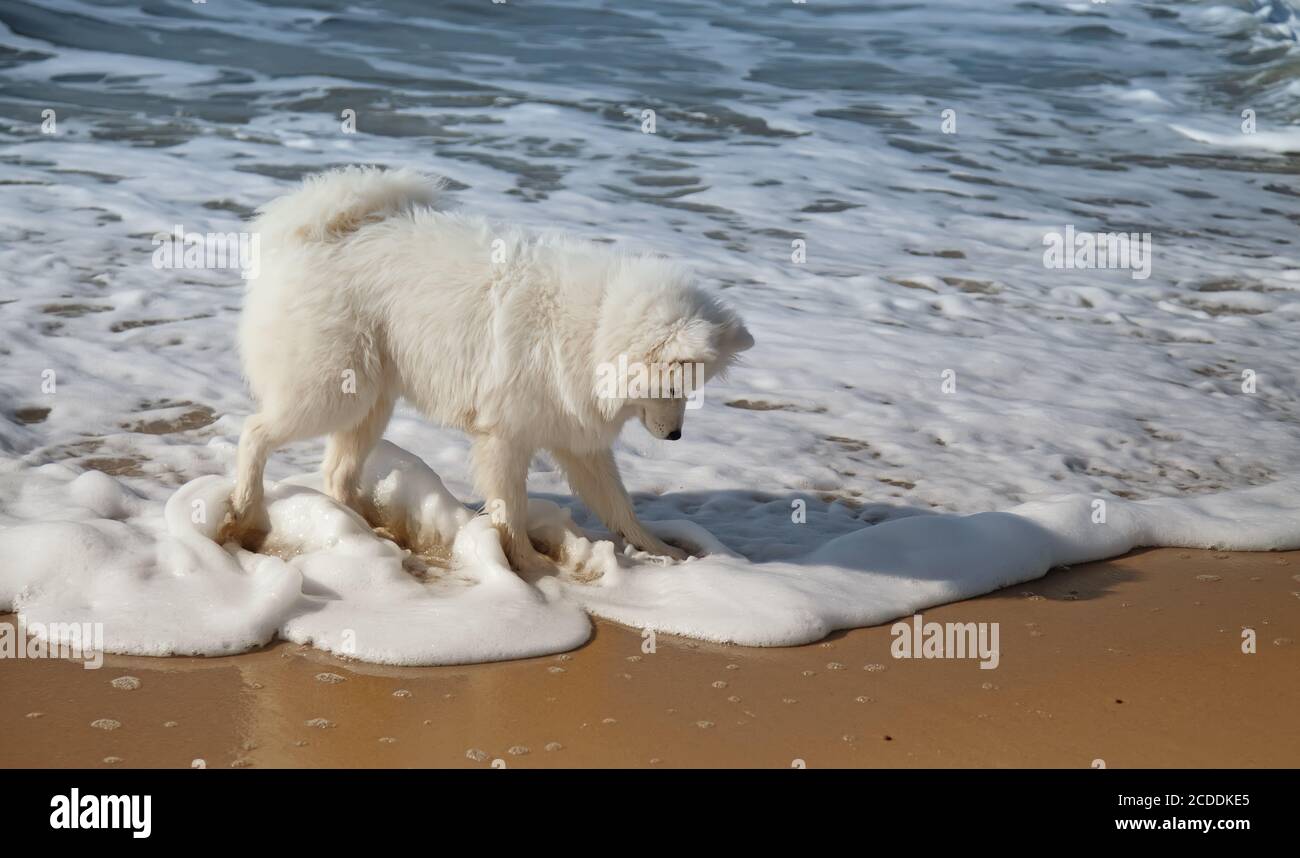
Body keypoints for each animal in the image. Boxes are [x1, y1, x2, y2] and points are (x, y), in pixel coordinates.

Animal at [223, 165, 754, 577]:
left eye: (690, 389)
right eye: (672, 386)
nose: (676, 437)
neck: (594, 325)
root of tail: (311, 233)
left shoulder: (577, 441)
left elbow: (618, 505)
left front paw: (658, 550)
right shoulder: (504, 438)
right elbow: (510, 510)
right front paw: (531, 564)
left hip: (369, 401)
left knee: (336, 472)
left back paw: (369, 533)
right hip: (330, 391)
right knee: (255, 432)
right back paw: (246, 503)